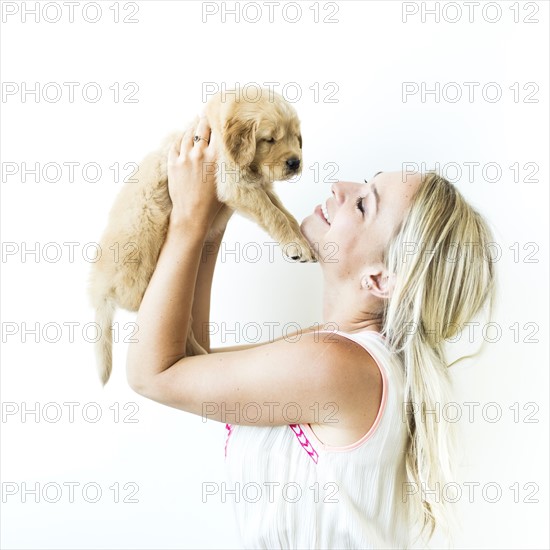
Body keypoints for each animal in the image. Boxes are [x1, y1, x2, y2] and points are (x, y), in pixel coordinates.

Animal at [88, 88, 316, 386]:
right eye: (270, 139)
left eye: (295, 137)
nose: (295, 162)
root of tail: (100, 289)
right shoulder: (236, 184)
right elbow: (273, 214)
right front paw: (295, 246)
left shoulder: (260, 185)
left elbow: (284, 214)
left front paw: (301, 240)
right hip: (145, 282)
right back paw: (199, 355)